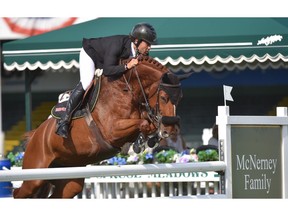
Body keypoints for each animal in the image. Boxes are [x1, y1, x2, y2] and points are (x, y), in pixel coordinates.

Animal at [12, 54, 182, 198]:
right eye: (164, 97)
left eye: (179, 98)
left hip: (69, 179)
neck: (126, 89)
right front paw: (140, 142)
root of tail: (36, 135)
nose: (170, 130)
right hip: (35, 175)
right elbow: (143, 124)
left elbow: (148, 123)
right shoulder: (113, 131)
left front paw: (149, 139)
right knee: (19, 193)